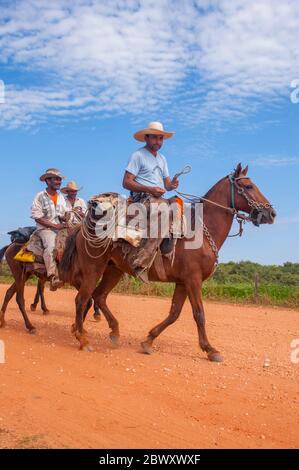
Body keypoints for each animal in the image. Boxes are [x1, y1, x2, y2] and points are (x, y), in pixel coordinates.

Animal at [60, 163, 276, 362]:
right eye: (248, 186)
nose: (271, 214)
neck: (201, 231)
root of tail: (82, 227)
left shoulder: (183, 282)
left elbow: (174, 313)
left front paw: (148, 340)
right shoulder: (193, 280)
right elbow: (199, 314)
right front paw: (210, 349)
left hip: (114, 270)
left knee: (99, 296)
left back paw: (110, 331)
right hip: (93, 268)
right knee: (82, 299)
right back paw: (83, 339)